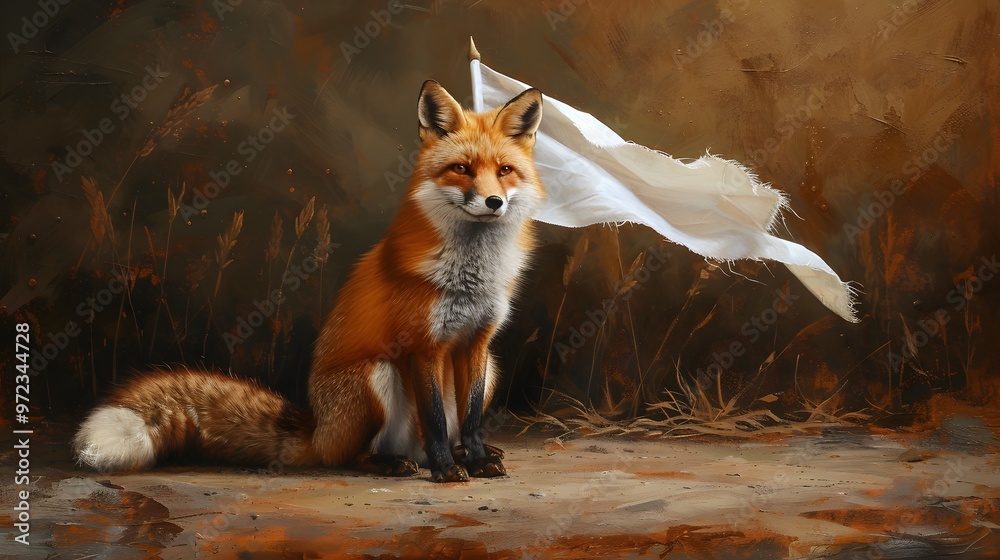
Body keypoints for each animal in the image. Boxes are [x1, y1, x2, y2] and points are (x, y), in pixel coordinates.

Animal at [73, 80, 545, 483]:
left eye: (505, 170)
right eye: (461, 168)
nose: (494, 202)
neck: (473, 274)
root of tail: (316, 430)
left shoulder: (477, 343)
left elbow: (469, 419)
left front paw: (478, 459)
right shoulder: (423, 345)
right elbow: (434, 419)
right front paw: (447, 470)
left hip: (493, 367)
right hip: (376, 376)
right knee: (351, 457)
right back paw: (398, 464)